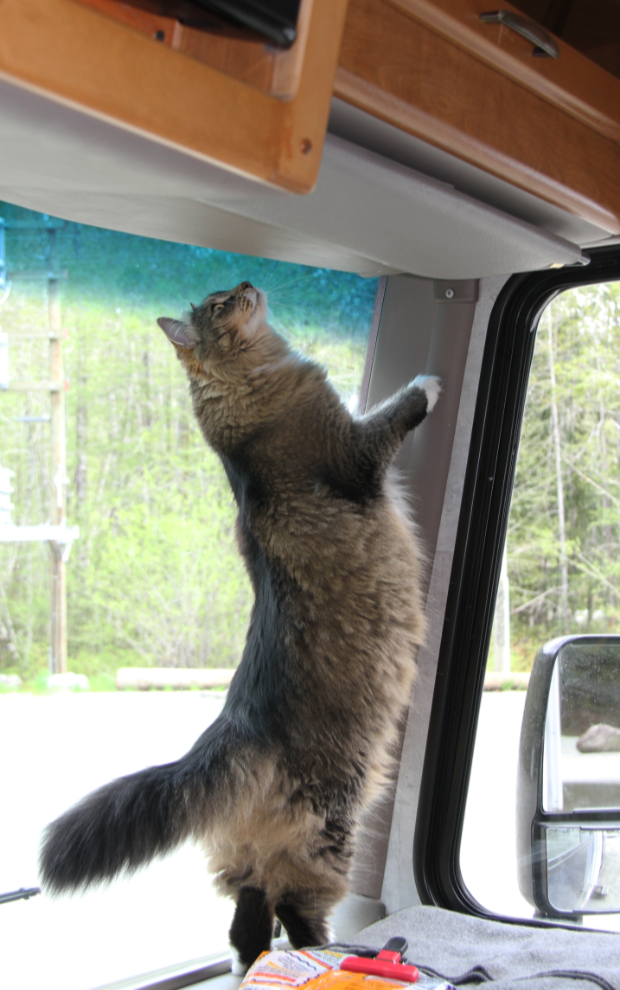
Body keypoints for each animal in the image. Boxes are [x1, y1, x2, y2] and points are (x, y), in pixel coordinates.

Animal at [38, 282, 438, 972]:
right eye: (222, 305)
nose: (249, 285)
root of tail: (231, 733)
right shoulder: (355, 451)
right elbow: (396, 411)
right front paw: (429, 384)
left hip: (247, 859)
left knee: (248, 924)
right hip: (332, 824)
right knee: (295, 910)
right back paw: (325, 958)